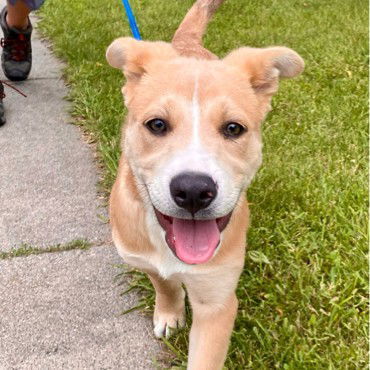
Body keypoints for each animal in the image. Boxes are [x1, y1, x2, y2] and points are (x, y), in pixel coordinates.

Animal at [106, 0, 304, 368]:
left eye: (233, 128)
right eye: (157, 124)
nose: (194, 191)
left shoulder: (216, 301)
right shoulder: (144, 260)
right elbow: (164, 285)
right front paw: (169, 313)